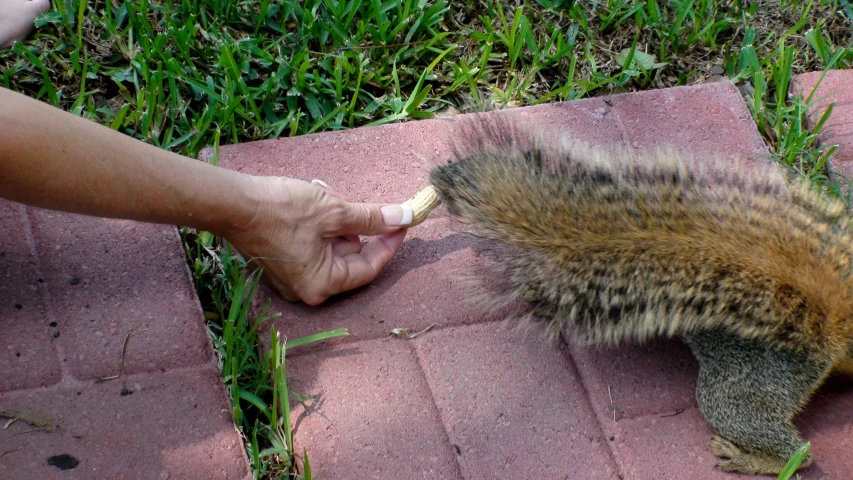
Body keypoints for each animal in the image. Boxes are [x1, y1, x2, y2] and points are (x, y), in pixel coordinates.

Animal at [412, 112, 852, 476]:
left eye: (458, 185)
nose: (435, 175)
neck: (540, 216)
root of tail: (826, 332)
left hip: (740, 389)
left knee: (798, 451)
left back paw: (752, 459)